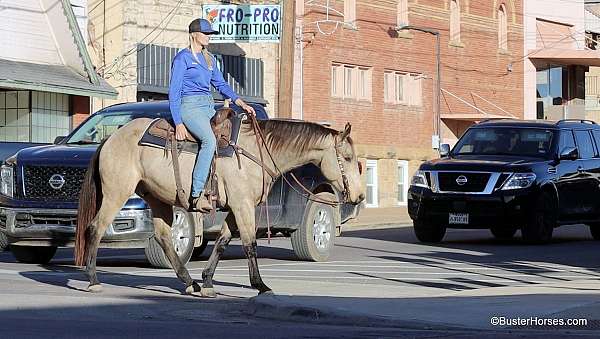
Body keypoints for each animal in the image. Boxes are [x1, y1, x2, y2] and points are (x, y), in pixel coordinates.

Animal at [75, 111, 366, 298]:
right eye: (347, 157)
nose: (361, 196)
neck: (257, 150)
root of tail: (109, 139)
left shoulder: (238, 207)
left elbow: (224, 240)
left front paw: (206, 282)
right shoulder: (244, 205)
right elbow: (249, 244)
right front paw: (260, 285)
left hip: (157, 197)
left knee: (164, 237)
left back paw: (189, 282)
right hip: (117, 192)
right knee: (95, 228)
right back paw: (93, 280)